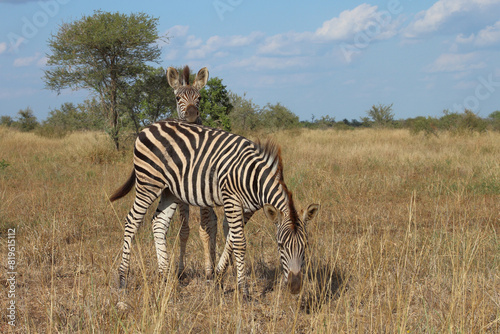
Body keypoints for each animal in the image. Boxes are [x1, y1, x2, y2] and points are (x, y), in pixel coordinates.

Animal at [109, 119, 320, 294]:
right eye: (280, 245)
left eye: (306, 246)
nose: (295, 288)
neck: (254, 178)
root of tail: (147, 127)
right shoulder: (231, 199)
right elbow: (240, 243)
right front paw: (243, 290)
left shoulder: (247, 209)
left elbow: (231, 240)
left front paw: (218, 277)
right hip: (148, 183)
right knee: (132, 222)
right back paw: (122, 279)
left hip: (170, 190)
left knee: (158, 223)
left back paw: (165, 277)